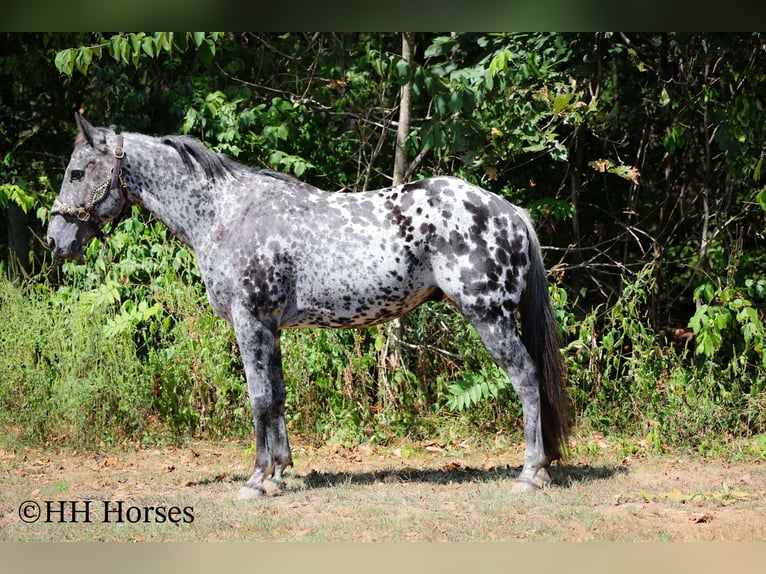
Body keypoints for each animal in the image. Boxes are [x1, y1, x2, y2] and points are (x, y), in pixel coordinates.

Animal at [47, 113, 569, 499]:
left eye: (77, 172)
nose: (55, 240)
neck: (226, 215)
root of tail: (510, 211)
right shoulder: (270, 329)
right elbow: (277, 398)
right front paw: (279, 474)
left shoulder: (251, 323)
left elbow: (258, 399)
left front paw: (255, 481)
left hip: (490, 318)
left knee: (526, 378)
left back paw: (531, 473)